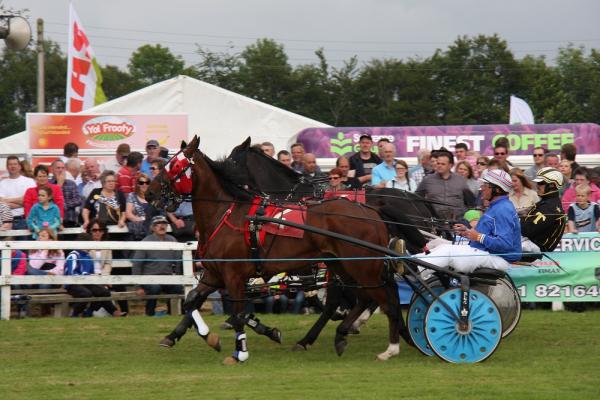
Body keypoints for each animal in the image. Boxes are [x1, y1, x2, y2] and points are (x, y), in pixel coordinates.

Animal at [146, 136, 404, 364]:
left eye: (175, 165)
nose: (149, 192)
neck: (227, 214)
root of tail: (372, 213)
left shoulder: (234, 275)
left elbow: (238, 314)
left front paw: (240, 352)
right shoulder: (214, 274)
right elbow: (192, 302)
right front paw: (200, 337)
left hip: (362, 266)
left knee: (385, 300)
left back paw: (390, 348)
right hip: (342, 265)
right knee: (364, 297)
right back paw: (339, 335)